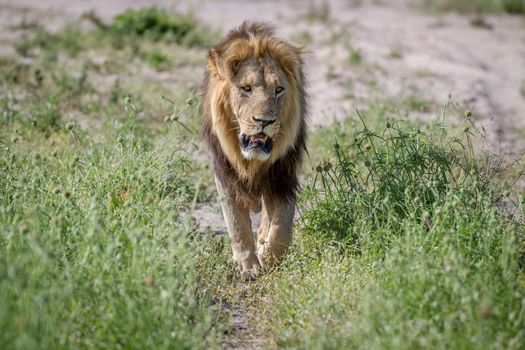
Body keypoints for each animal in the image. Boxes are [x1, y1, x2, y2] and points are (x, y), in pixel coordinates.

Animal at [200, 21, 308, 276]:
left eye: (279, 89)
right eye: (246, 88)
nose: (264, 121)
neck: (252, 160)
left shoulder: (283, 175)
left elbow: (281, 223)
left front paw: (270, 257)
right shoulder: (224, 172)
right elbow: (236, 224)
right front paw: (248, 266)